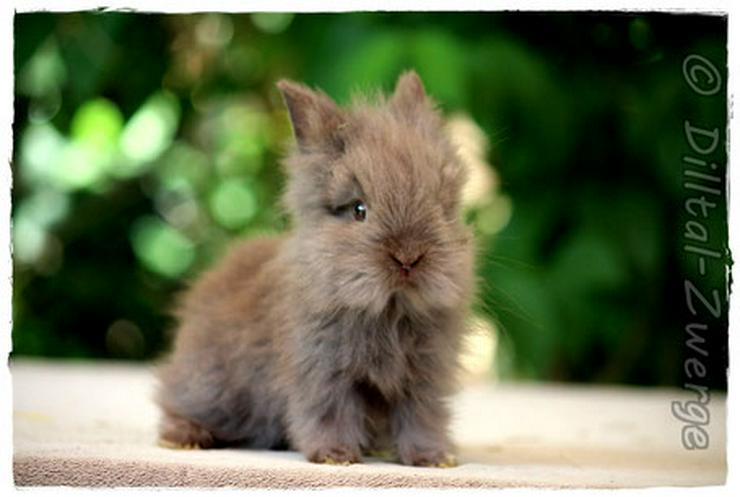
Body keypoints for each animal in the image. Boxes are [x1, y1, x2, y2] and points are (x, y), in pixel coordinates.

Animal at [159, 70, 476, 464]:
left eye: (440, 207)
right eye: (359, 210)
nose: (408, 257)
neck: (388, 311)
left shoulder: (423, 377)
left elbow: (421, 415)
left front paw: (433, 459)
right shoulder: (322, 371)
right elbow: (329, 409)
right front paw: (335, 455)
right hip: (210, 386)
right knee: (175, 401)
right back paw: (184, 438)